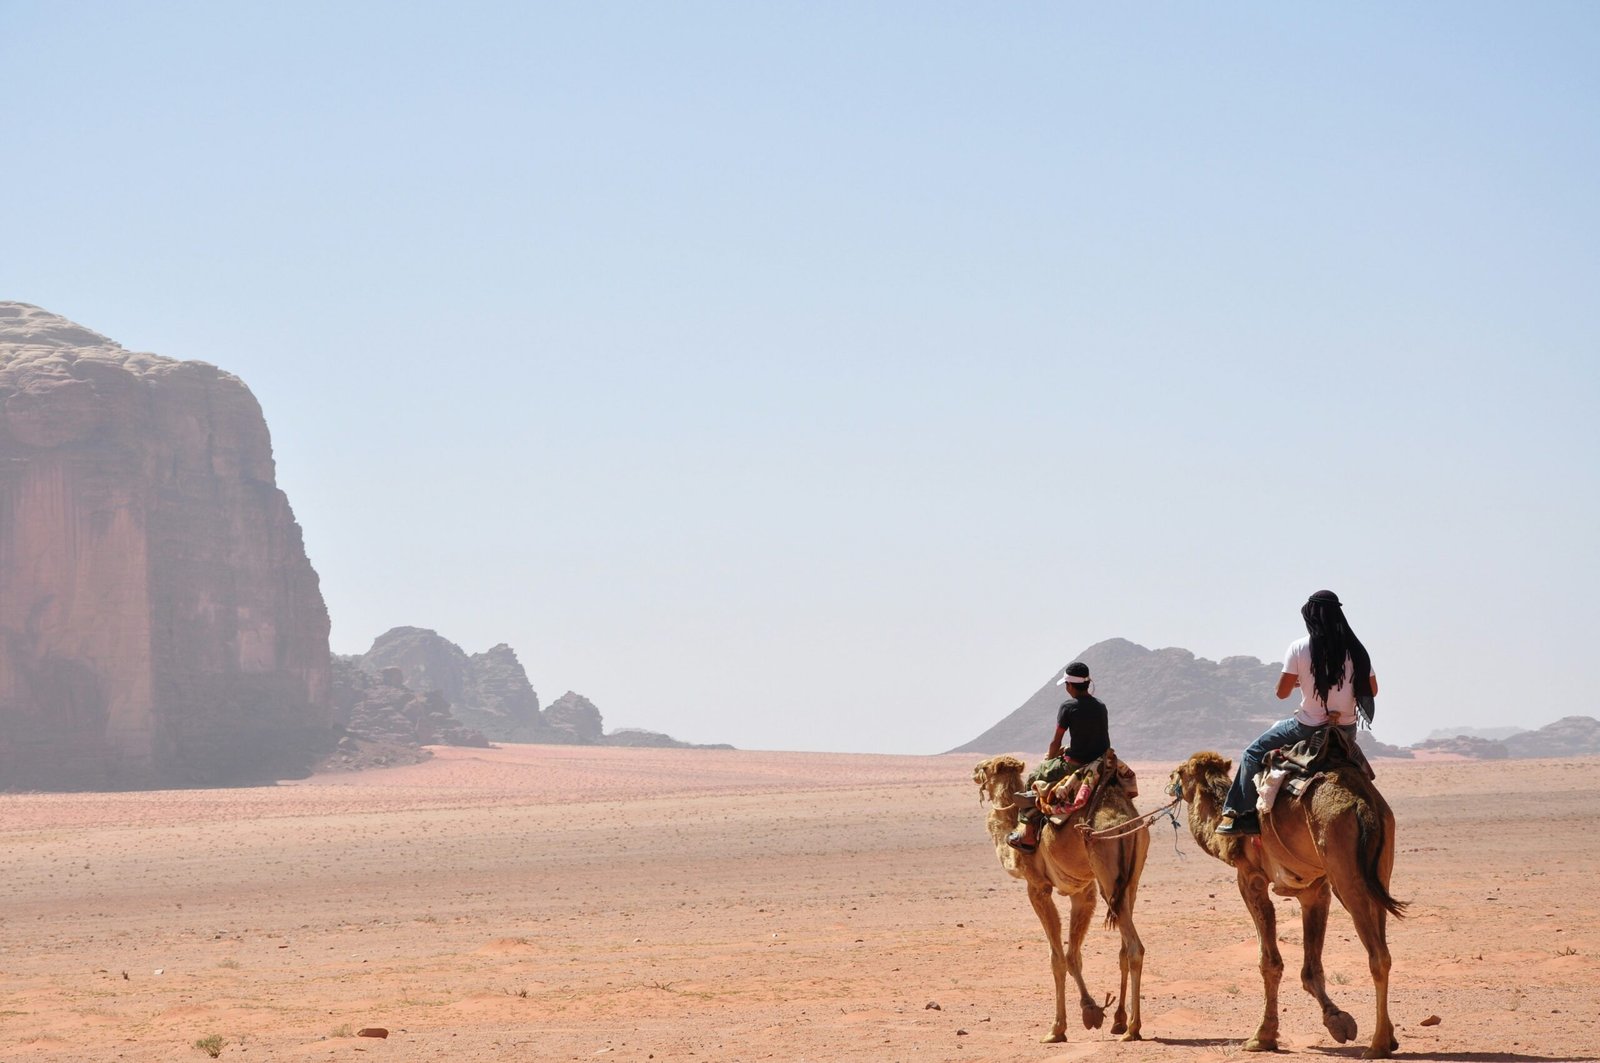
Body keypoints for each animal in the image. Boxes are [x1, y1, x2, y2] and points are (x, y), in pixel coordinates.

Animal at [973, 755, 1149, 1044]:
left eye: (985, 767)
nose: (975, 771)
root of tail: (1126, 821)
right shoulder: (1083, 892)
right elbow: (1073, 955)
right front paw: (1091, 1011)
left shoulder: (1038, 887)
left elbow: (1057, 958)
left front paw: (1057, 1029)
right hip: (1129, 881)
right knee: (1124, 948)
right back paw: (1120, 1021)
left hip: (1107, 872)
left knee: (1135, 948)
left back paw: (1133, 1029)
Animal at [1167, 747, 1406, 1058]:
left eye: (1181, 772)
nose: (1169, 780)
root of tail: (1363, 803)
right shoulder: (1313, 890)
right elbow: (1311, 968)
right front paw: (1338, 1022)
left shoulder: (1250, 878)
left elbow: (1269, 962)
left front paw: (1262, 1037)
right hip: (1379, 868)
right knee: (1384, 946)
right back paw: (1388, 1037)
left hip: (1345, 872)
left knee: (1378, 956)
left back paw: (1377, 1046)